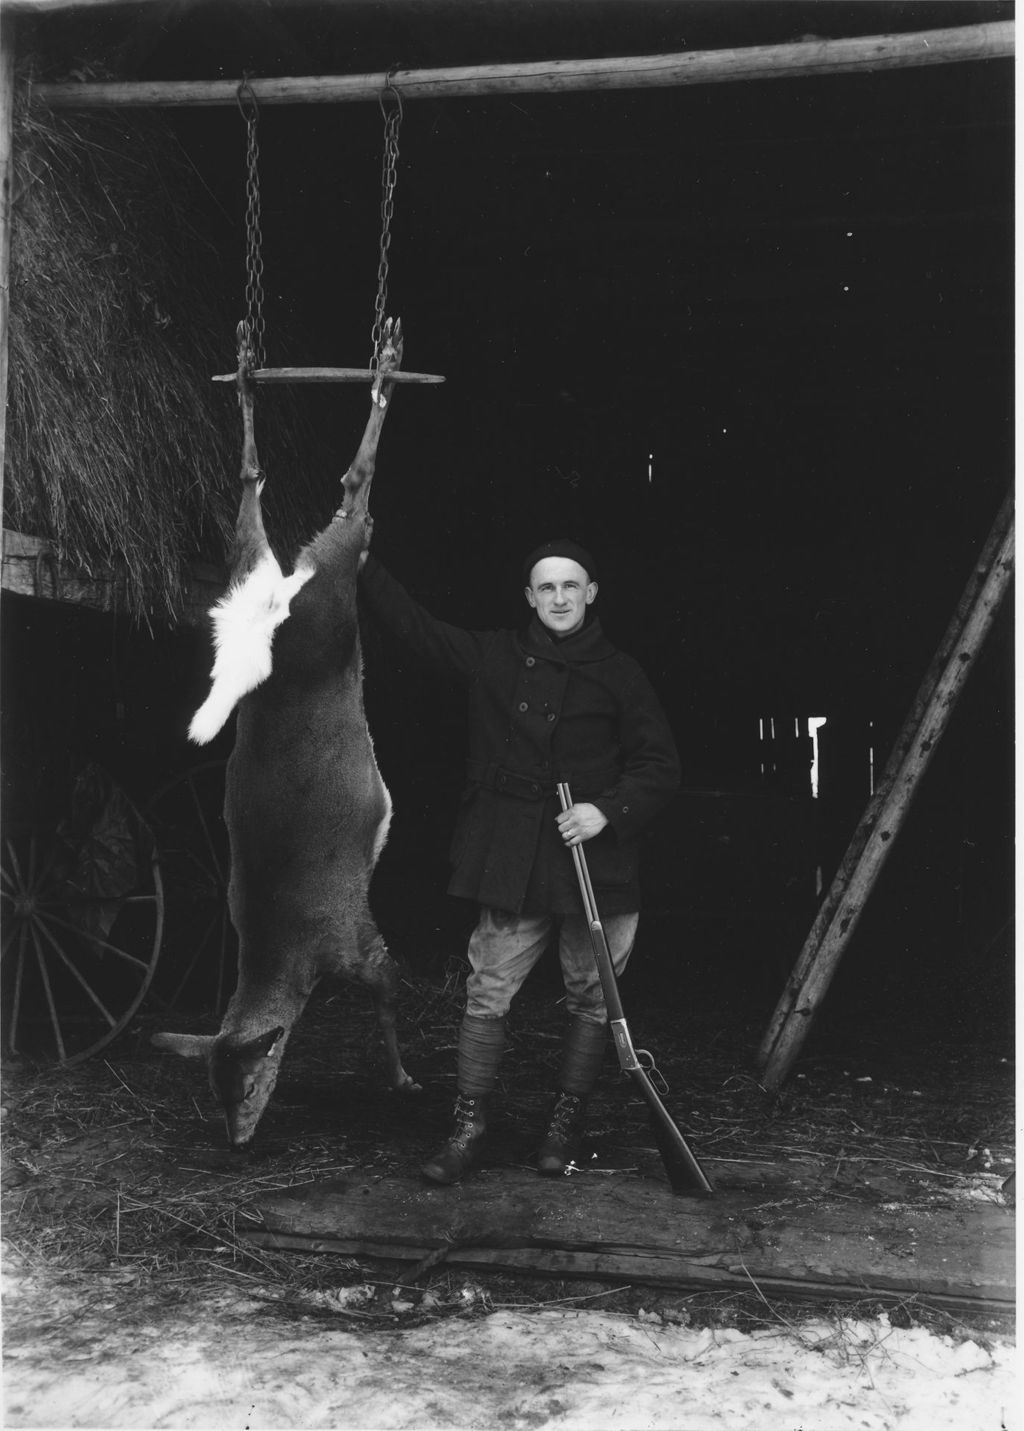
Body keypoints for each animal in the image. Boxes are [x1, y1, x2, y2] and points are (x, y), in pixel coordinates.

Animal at [153, 319, 417, 1144]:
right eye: (214, 1088)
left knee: (349, 489)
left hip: (327, 589)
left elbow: (390, 993)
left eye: (243, 1082)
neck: (284, 952)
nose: (237, 1138)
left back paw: (380, 364)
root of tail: (265, 608)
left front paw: (402, 1077)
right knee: (263, 489)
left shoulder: (356, 936)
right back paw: (252, 365)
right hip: (282, 572)